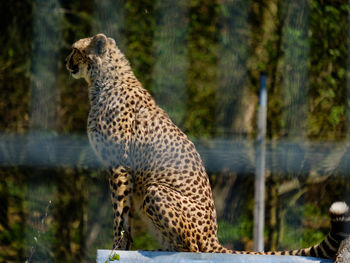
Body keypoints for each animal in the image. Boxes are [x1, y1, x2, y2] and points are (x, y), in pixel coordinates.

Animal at [66, 33, 350, 260]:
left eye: (75, 50)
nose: (66, 62)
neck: (103, 80)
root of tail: (213, 237)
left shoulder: (120, 166)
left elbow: (120, 212)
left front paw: (117, 247)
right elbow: (125, 215)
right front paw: (124, 247)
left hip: (156, 191)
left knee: (193, 249)